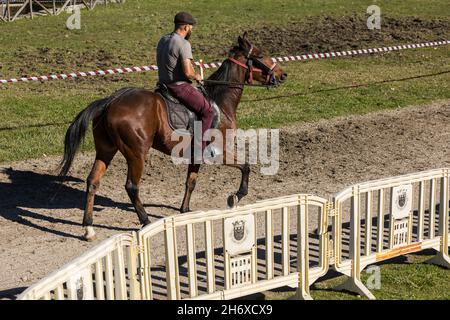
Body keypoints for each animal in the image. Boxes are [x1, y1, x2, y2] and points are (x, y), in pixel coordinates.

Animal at [59, 33, 288, 242]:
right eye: (261, 54)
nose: (283, 74)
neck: (220, 103)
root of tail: (110, 101)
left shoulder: (196, 156)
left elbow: (191, 182)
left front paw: (185, 210)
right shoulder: (219, 152)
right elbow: (246, 166)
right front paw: (235, 197)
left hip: (106, 150)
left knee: (92, 181)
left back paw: (88, 228)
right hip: (136, 154)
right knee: (131, 187)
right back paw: (145, 221)